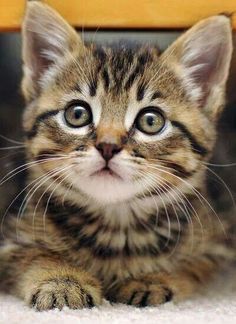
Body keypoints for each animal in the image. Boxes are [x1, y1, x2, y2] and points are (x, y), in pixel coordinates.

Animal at [0, 1, 235, 312]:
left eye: (151, 121)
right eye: (77, 114)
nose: (108, 146)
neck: (116, 225)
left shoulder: (217, 244)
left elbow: (192, 264)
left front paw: (152, 278)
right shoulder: (8, 238)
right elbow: (32, 254)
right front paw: (62, 280)